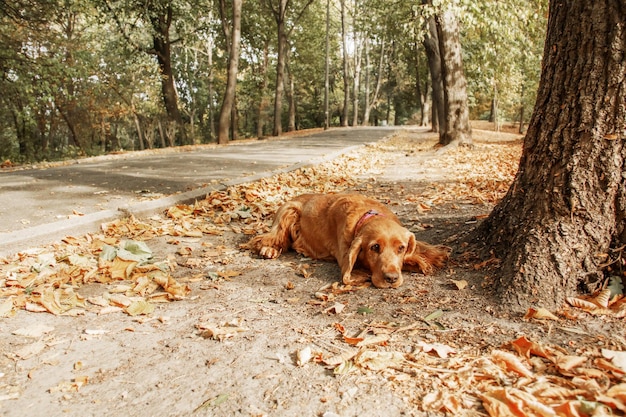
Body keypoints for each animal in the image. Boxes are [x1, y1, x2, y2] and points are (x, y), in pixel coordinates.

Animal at [246, 193, 446, 288]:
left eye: (401, 248)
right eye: (375, 247)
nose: (391, 279)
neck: (367, 214)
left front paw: (425, 259)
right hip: (288, 210)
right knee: (267, 238)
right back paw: (268, 249)